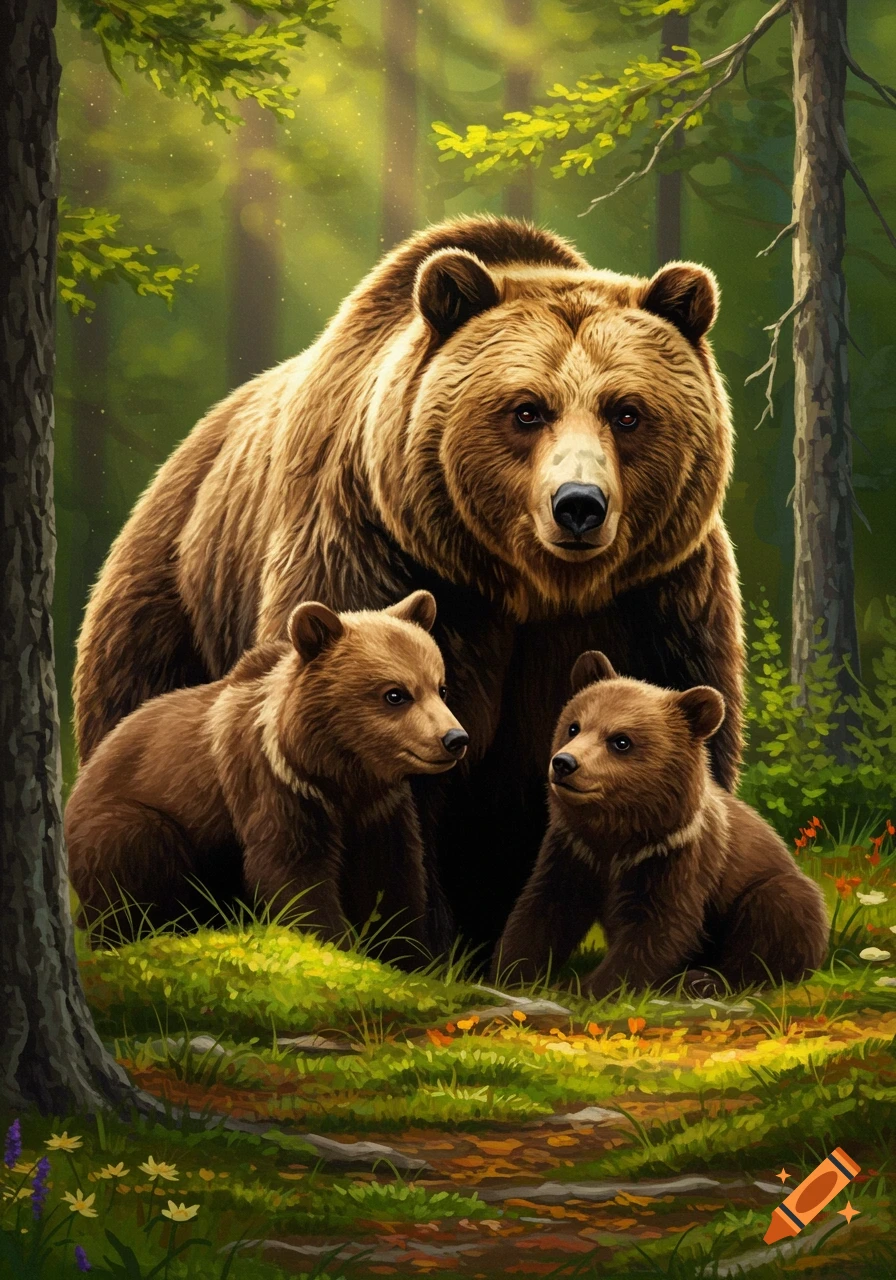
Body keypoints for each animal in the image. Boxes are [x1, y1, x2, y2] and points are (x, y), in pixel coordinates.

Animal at [66, 590, 469, 965]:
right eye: (395, 694)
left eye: (441, 687)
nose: (454, 738)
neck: (341, 772)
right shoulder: (278, 786)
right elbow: (291, 872)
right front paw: (337, 947)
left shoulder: (380, 810)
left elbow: (390, 880)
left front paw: (411, 957)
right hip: (123, 819)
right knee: (134, 856)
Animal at [494, 652, 828, 997]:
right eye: (574, 726)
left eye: (621, 741)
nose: (564, 763)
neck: (615, 834)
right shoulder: (573, 850)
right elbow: (543, 911)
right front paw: (512, 972)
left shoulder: (674, 856)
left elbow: (658, 928)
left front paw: (589, 986)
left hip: (773, 892)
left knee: (777, 912)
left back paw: (704, 979)